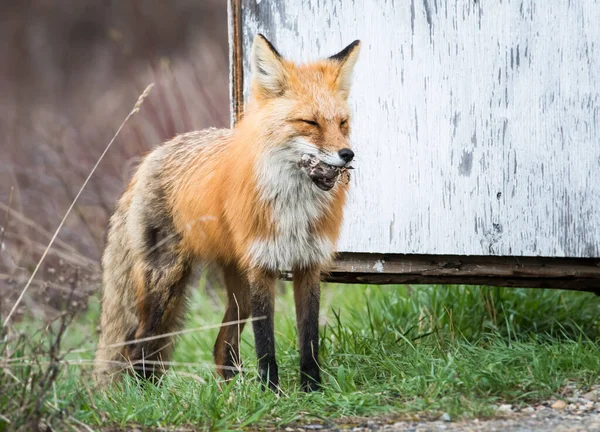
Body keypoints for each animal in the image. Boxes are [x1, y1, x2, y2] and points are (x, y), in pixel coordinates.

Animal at [94, 34, 360, 392]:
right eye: (310, 123)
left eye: (342, 123)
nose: (348, 154)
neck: (293, 207)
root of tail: (151, 156)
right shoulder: (262, 265)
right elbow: (265, 342)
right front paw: (271, 392)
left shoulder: (308, 264)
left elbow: (309, 338)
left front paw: (311, 389)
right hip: (165, 284)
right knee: (137, 345)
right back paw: (148, 395)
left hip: (237, 291)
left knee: (221, 347)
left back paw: (232, 393)